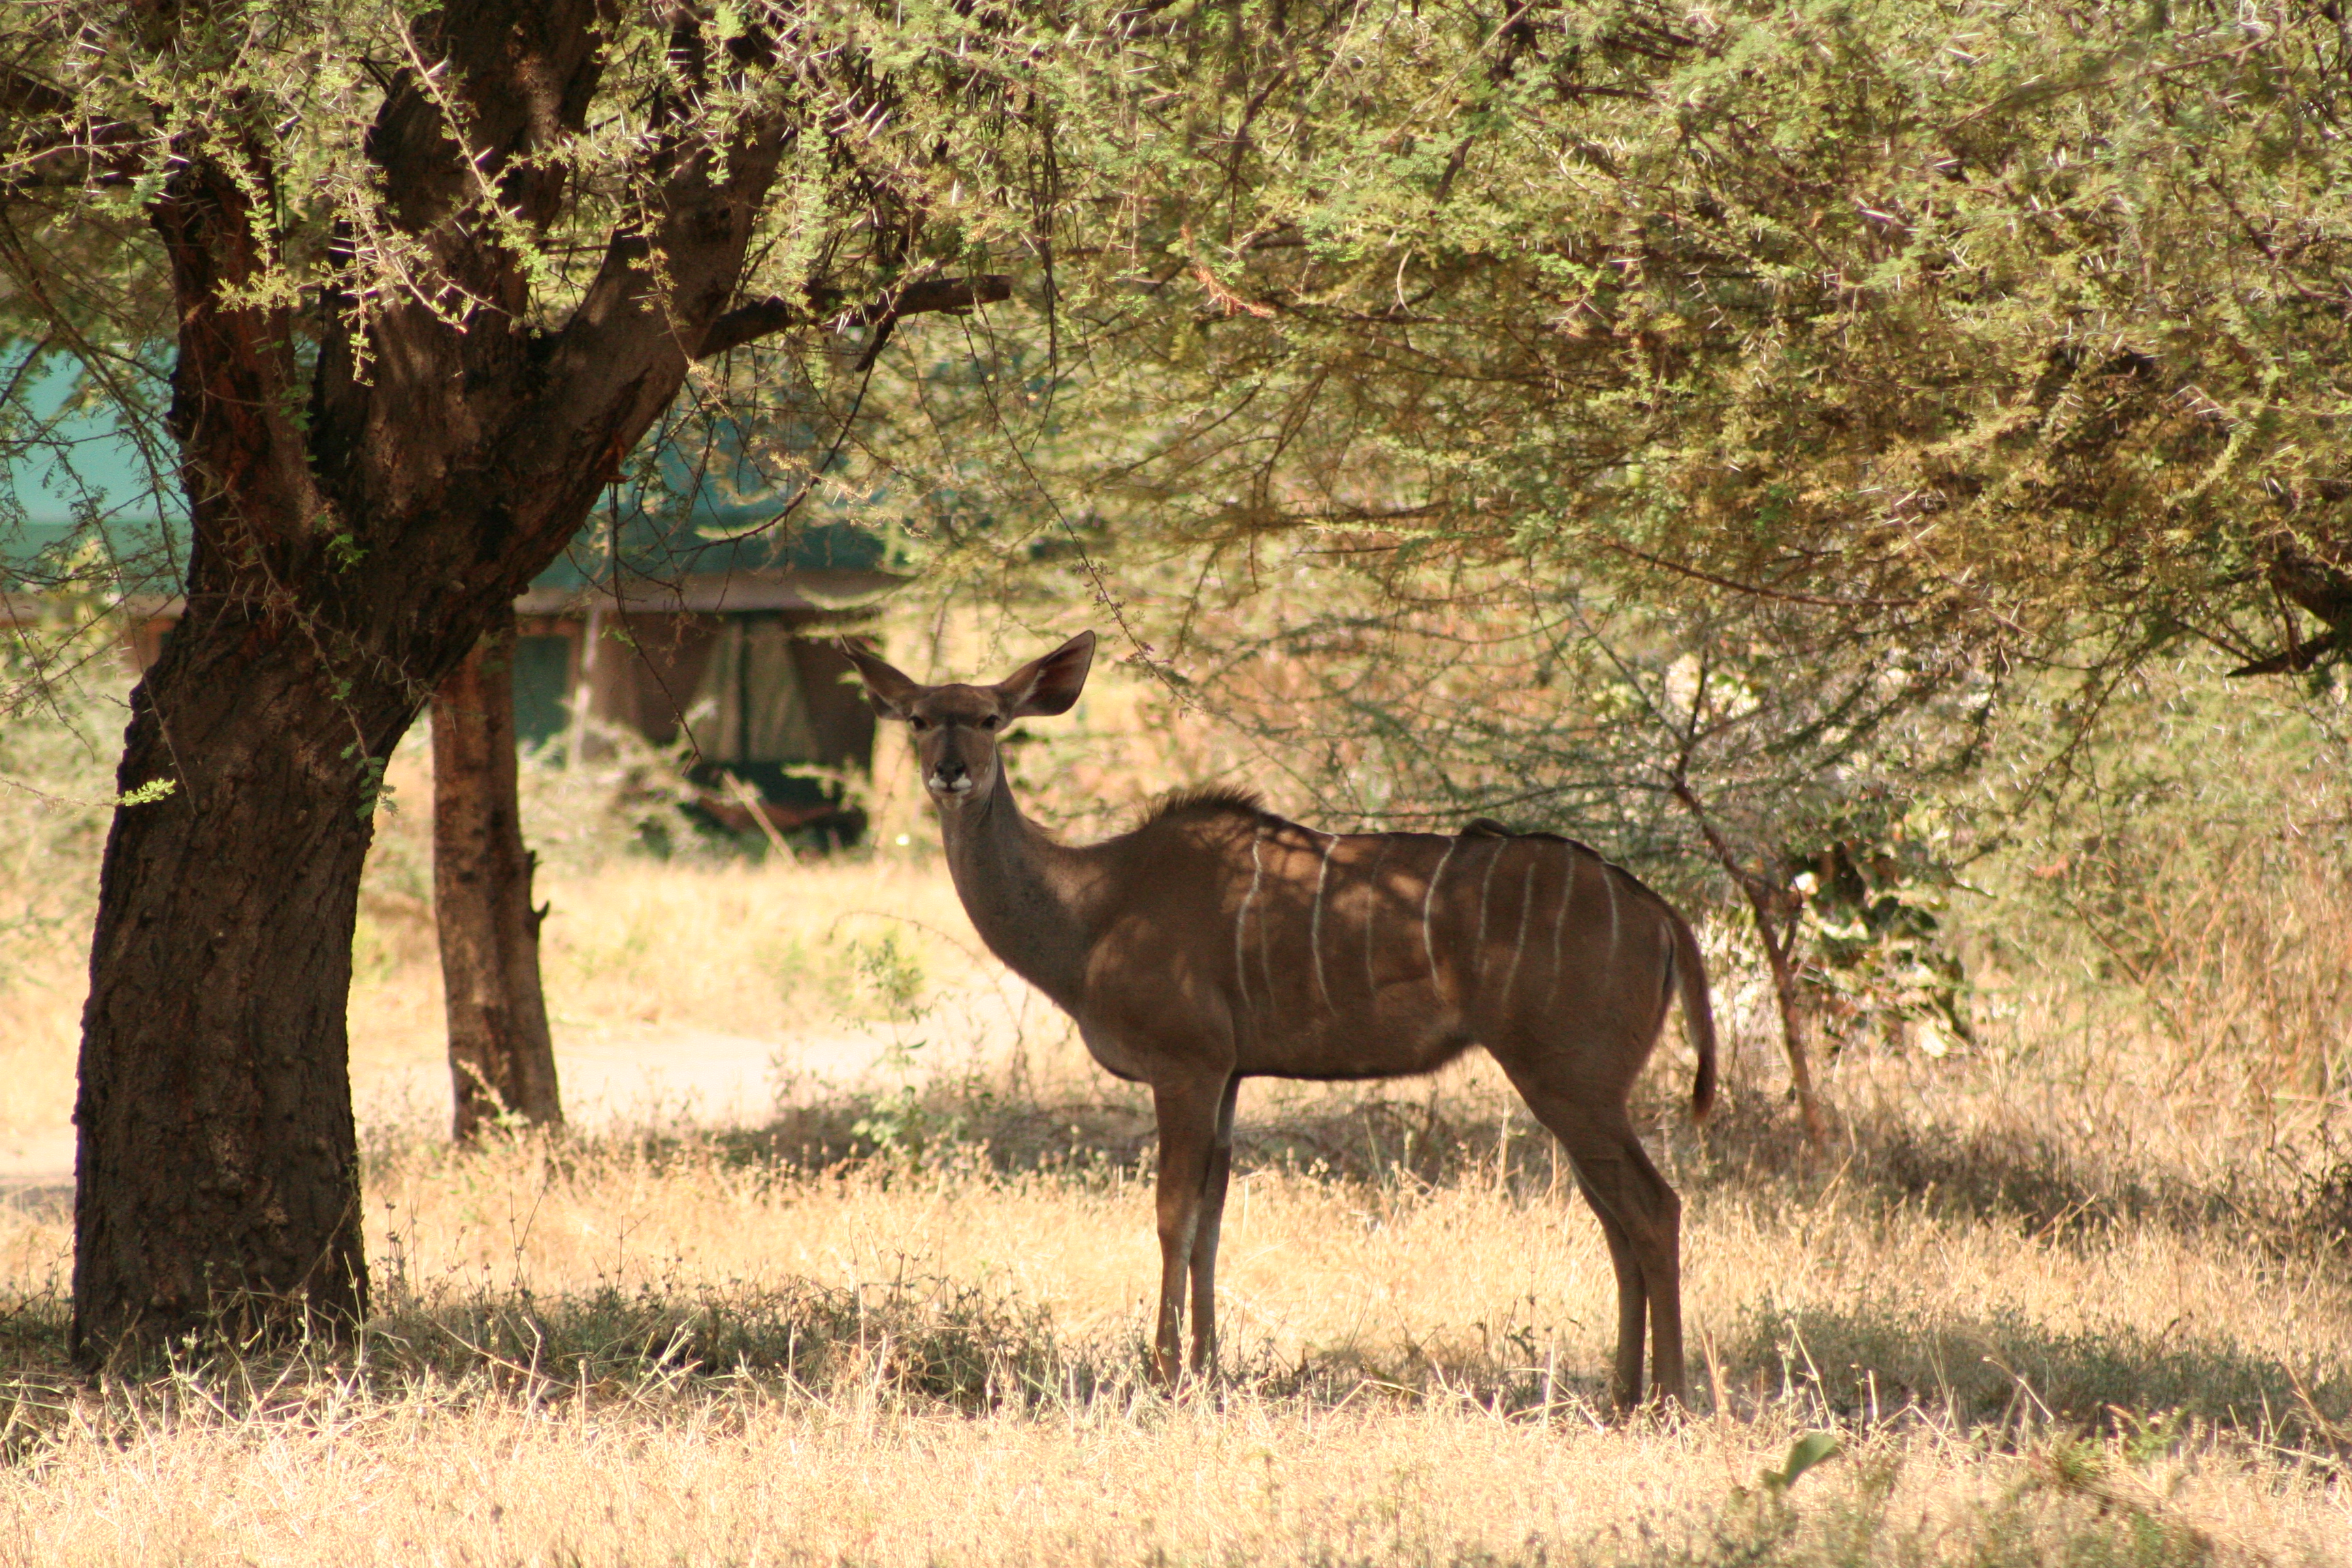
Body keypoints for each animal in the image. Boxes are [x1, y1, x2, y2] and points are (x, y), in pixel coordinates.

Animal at [842, 630, 1712, 1420]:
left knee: (1653, 1207)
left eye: (991, 718)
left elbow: (1172, 1215)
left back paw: (1668, 1399)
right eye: (919, 718)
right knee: (1615, 1217)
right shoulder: (1228, 1075)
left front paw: (1165, 1377)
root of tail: (1660, 915)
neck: (1095, 903)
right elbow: (1212, 1221)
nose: (950, 771)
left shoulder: (1185, 1066)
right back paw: (1622, 1395)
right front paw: (1207, 1371)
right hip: (1574, 1087)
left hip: (1568, 1077)